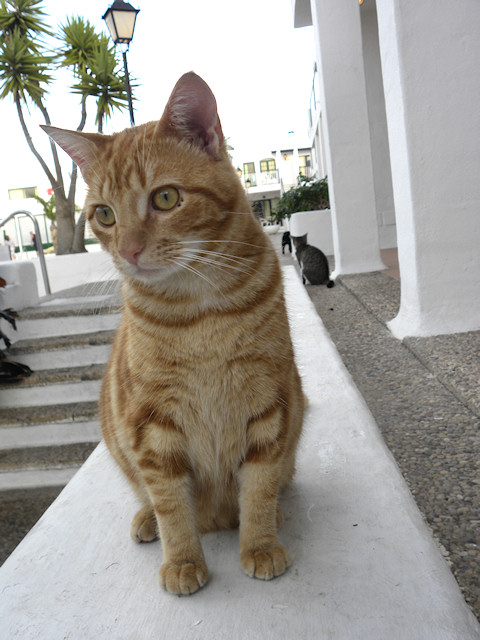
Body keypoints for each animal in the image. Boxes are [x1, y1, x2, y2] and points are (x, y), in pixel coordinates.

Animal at [42, 72, 305, 597]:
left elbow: (260, 486)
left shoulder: (269, 405)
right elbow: (170, 503)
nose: (127, 251)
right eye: (104, 214)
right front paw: (182, 558)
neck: (198, 312)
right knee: (153, 500)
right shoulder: (152, 425)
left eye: (165, 198)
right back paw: (148, 520)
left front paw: (260, 543)